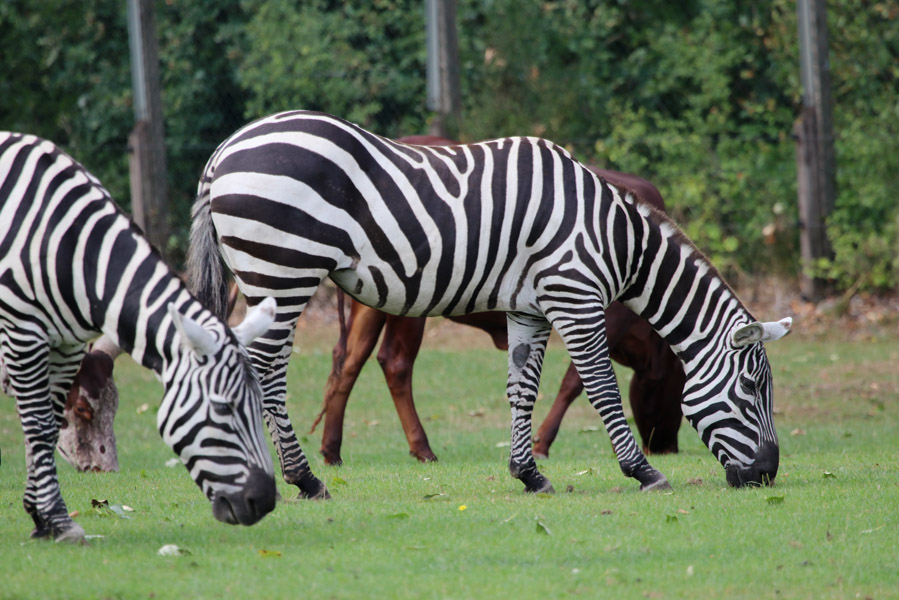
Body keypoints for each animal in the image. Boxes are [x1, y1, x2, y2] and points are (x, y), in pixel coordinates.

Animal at [0, 132, 278, 544]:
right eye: (223, 408)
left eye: (259, 406)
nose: (265, 500)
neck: (75, 254)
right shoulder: (24, 333)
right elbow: (37, 425)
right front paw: (57, 521)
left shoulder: (66, 345)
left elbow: (48, 427)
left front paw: (43, 518)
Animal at [186, 110, 792, 494]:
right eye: (751, 388)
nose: (767, 474)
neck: (613, 238)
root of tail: (224, 149)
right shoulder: (575, 297)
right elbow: (597, 387)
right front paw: (643, 473)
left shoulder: (529, 307)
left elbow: (521, 390)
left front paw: (529, 475)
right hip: (283, 271)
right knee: (265, 371)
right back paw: (306, 479)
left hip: (274, 277)